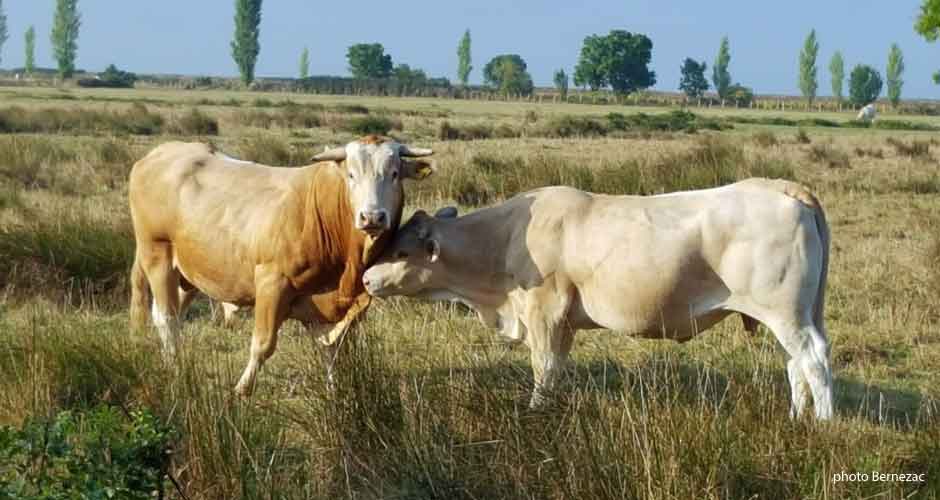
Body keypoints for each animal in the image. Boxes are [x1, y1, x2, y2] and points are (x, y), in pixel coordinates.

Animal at [126, 137, 436, 394]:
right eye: (351, 175)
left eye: (394, 174)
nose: (372, 217)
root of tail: (160, 153)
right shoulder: (271, 284)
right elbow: (263, 344)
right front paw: (242, 389)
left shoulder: (329, 305)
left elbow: (332, 349)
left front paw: (337, 392)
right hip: (156, 255)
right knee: (166, 318)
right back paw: (176, 370)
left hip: (190, 271)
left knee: (173, 315)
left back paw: (171, 361)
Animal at [364, 178, 832, 420]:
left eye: (401, 252)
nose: (366, 278)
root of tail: (781, 188)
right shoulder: (564, 322)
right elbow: (557, 369)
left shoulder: (544, 313)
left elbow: (544, 369)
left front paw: (536, 413)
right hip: (792, 315)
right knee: (795, 367)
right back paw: (796, 419)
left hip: (788, 315)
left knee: (814, 362)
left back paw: (823, 423)